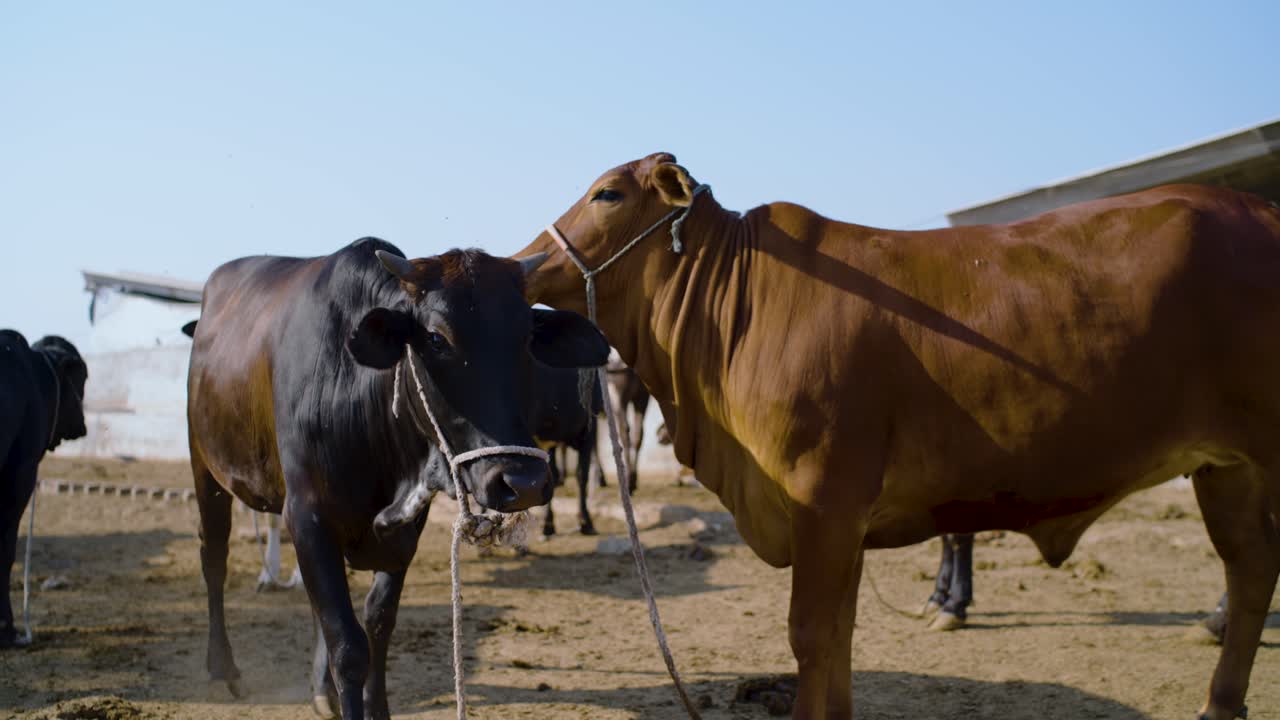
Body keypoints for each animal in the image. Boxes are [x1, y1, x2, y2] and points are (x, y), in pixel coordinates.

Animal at [185, 238, 607, 720]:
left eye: (527, 338)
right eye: (437, 339)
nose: (524, 481)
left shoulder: (404, 529)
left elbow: (377, 622)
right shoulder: (307, 515)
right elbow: (348, 645)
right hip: (204, 465)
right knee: (214, 557)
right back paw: (224, 668)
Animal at [516, 152, 1280, 720]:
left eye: (608, 193)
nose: (525, 263)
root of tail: (1261, 209)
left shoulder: (824, 503)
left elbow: (812, 634)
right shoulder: (843, 520)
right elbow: (840, 636)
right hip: (1226, 468)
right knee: (1250, 571)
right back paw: (1220, 701)